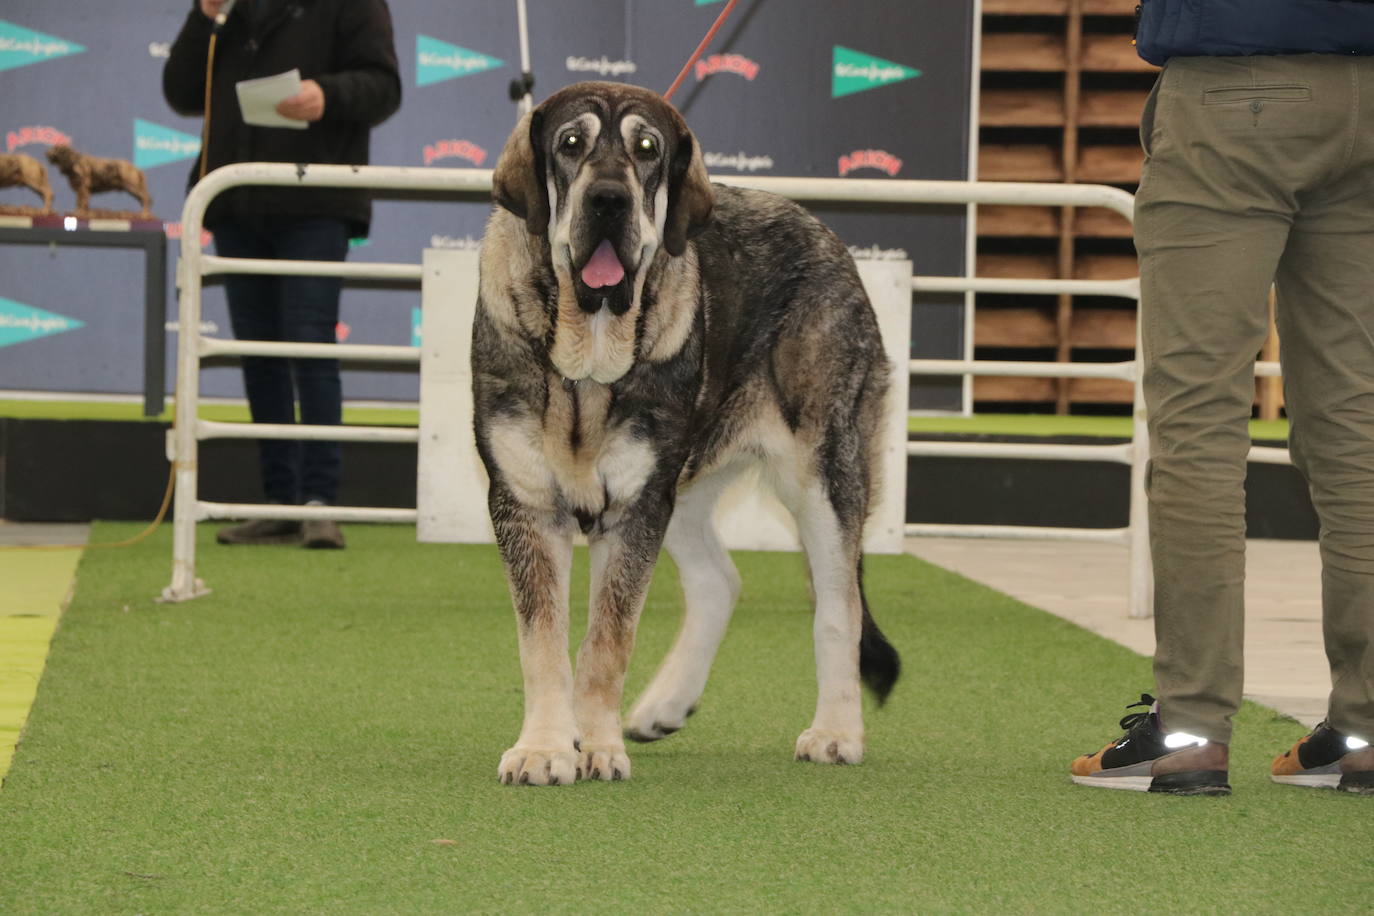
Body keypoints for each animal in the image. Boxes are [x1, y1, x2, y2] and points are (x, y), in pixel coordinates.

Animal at [472, 82, 901, 791]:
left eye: (648, 148)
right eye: (570, 143)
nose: (609, 200)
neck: (588, 358)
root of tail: (830, 240)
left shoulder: (636, 507)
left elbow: (606, 643)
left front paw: (596, 747)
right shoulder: (527, 504)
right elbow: (543, 643)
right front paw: (545, 747)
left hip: (821, 470)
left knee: (839, 605)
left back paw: (837, 732)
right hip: (684, 483)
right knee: (716, 581)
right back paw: (663, 706)